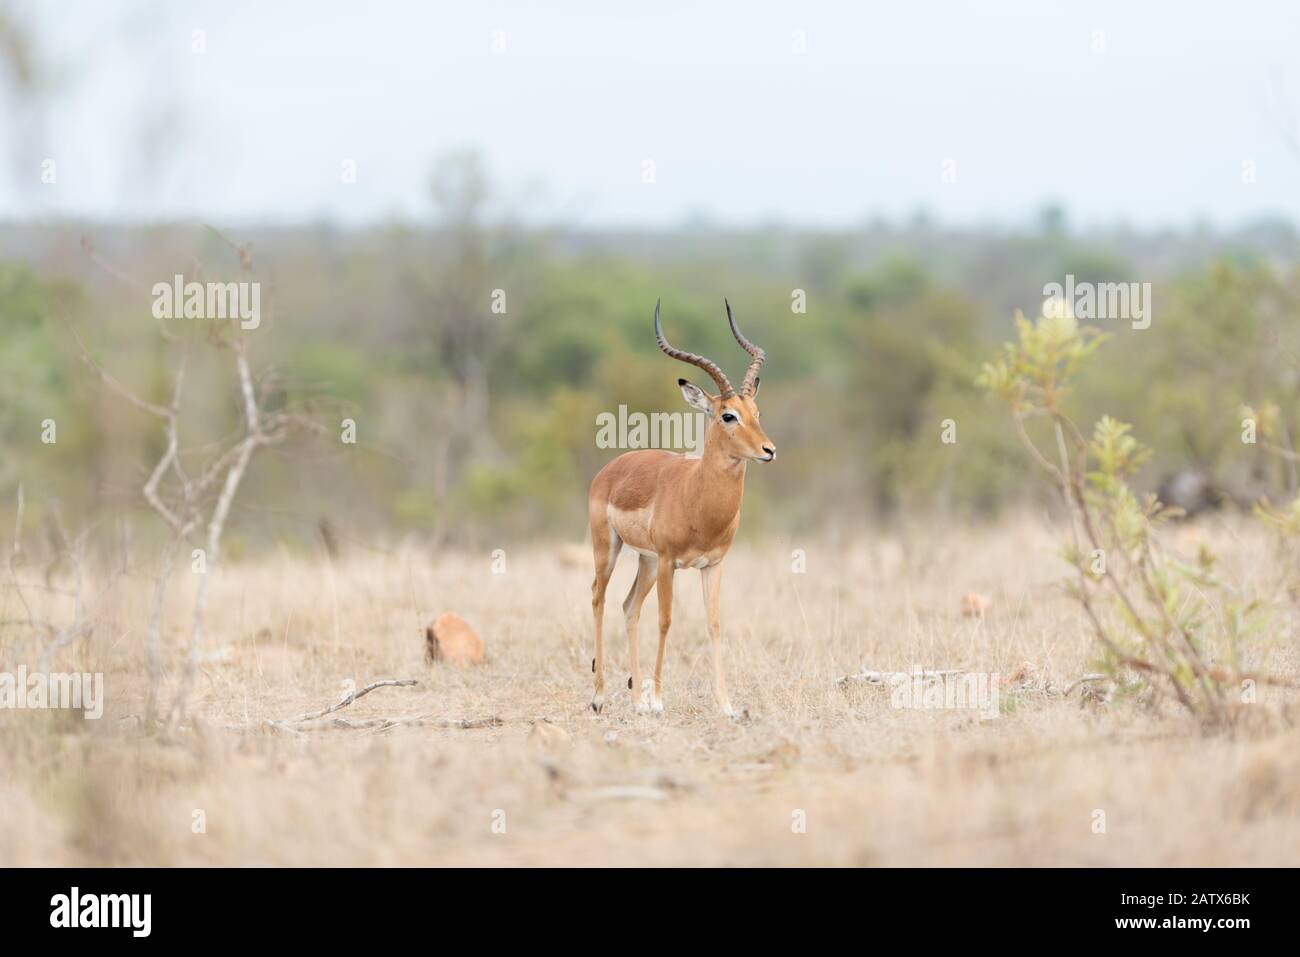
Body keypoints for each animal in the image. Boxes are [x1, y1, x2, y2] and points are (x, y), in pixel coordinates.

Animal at [588, 299, 775, 717]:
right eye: (727, 415)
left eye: (756, 411)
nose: (769, 450)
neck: (698, 500)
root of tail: (611, 467)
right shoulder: (671, 561)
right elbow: (666, 620)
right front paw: (659, 700)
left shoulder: (713, 565)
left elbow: (714, 624)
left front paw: (726, 705)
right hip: (611, 550)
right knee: (598, 597)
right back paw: (600, 697)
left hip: (646, 562)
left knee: (628, 606)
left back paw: (635, 698)